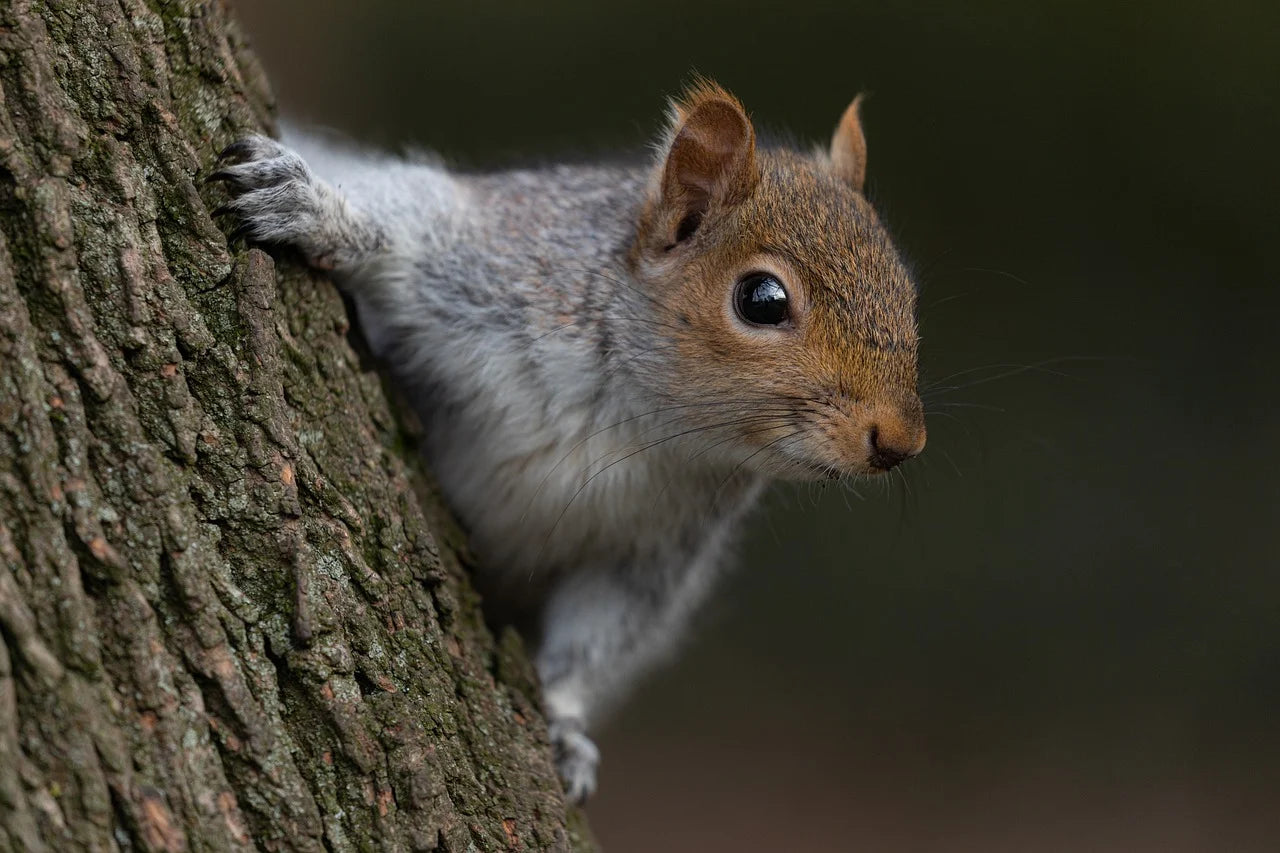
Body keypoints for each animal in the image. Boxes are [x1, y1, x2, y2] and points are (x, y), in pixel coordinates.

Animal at [215, 78, 926, 799]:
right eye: (762, 299)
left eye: (908, 293)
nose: (900, 441)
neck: (637, 415)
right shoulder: (497, 258)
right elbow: (406, 221)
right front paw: (316, 207)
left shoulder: (653, 553)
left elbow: (598, 636)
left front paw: (563, 724)